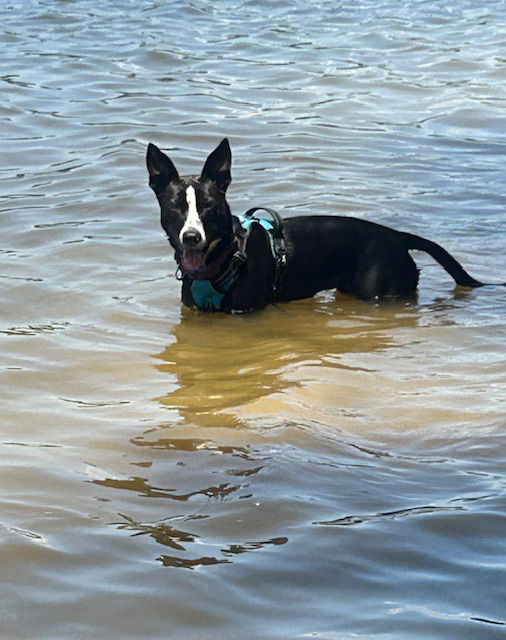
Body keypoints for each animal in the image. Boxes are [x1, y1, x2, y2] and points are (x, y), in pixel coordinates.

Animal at [145, 139, 498, 314]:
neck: (224, 256)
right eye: (176, 206)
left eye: (209, 206)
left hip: (385, 290)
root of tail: (398, 237)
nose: (192, 237)